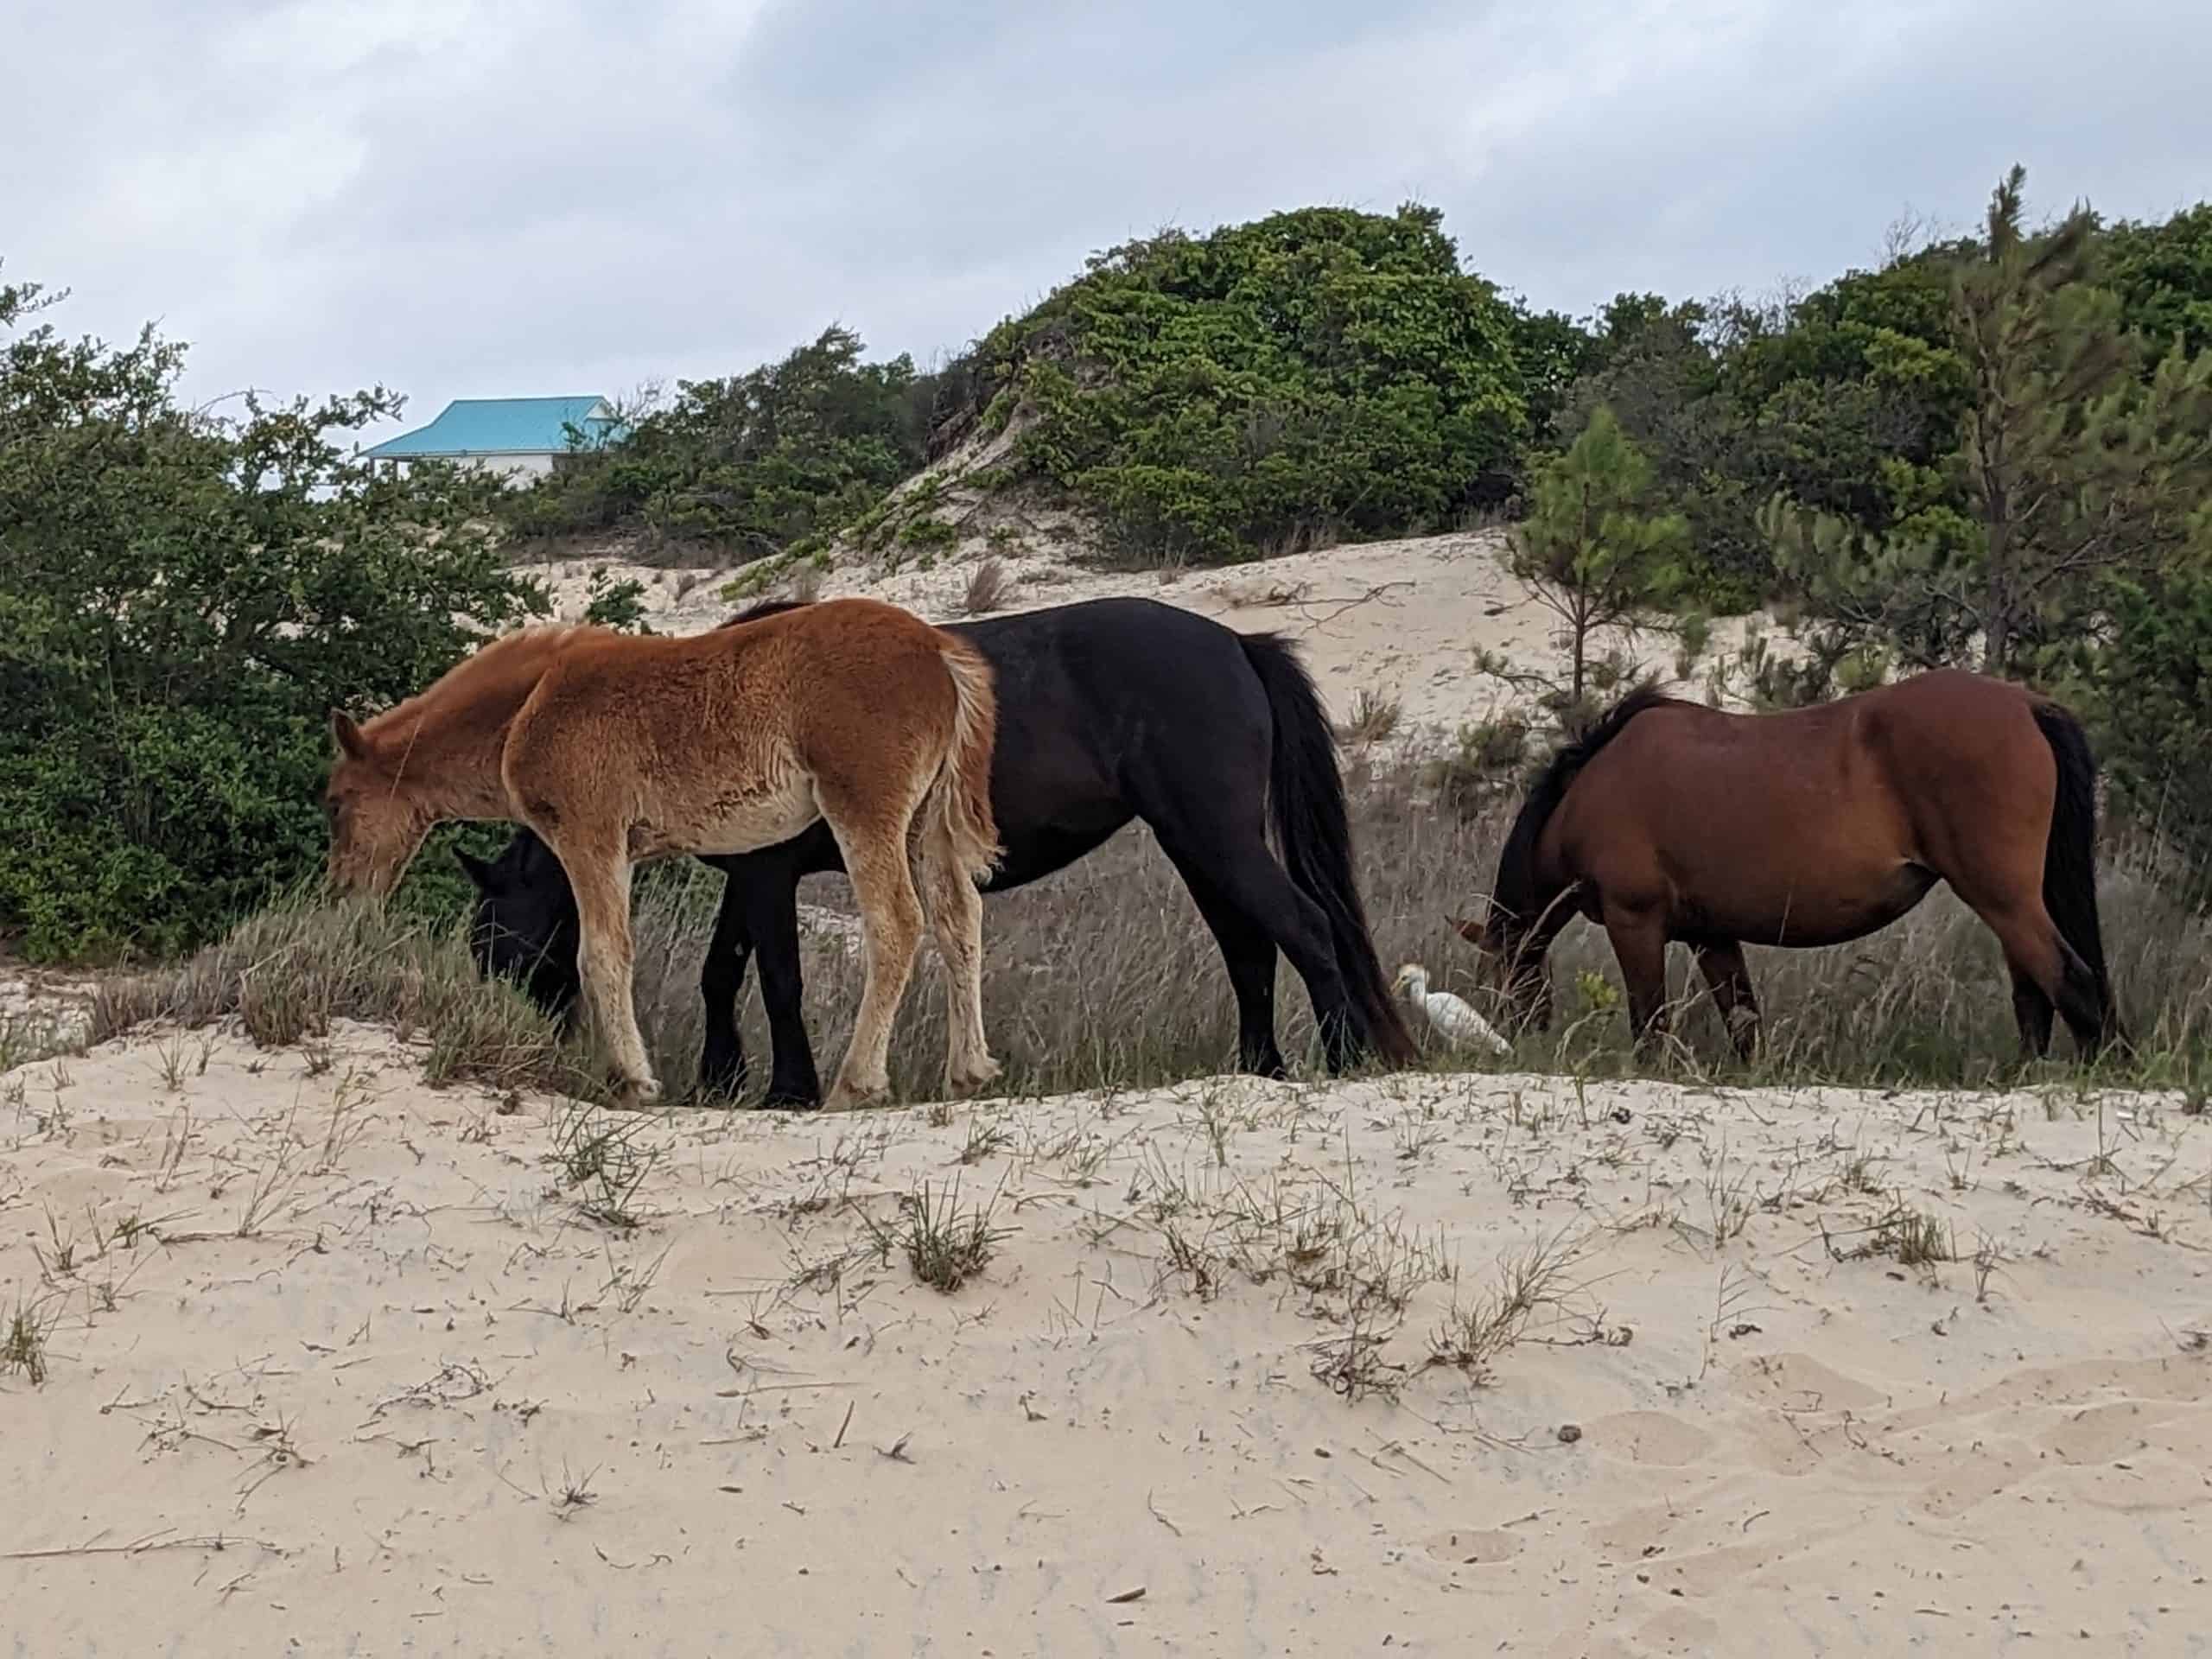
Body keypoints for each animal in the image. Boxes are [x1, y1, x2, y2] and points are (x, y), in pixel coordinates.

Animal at [316, 597, 1000, 1119]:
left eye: (335, 804)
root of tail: (939, 651)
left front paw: (630, 1081)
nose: (341, 892)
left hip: (864, 810)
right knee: (959, 920)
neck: (527, 708)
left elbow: (603, 955)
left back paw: (856, 1083)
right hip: (926, 823)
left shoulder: (590, 836)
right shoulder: (622, 853)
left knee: (897, 925)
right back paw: (968, 1072)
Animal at [460, 593, 1415, 1110]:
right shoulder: (753, 878)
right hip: (1197, 842)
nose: (532, 1038)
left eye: (495, 941)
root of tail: (1236, 645)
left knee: (1304, 929)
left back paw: (1344, 1060)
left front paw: (786, 1087)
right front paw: (725, 1077)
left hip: (1212, 835)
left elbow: (774, 978)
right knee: (1250, 948)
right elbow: (723, 972)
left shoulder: (767, 875)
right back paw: (1261, 1069)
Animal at [1451, 672, 2123, 1065]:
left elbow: (1650, 1024)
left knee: (2071, 981)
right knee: (2035, 992)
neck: (1591, 789)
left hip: (2001, 896)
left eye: (1498, 972)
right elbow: (1744, 1025)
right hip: (2014, 902)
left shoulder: (1634, 923)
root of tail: (2027, 704)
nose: (1515, 1036)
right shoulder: (1712, 936)